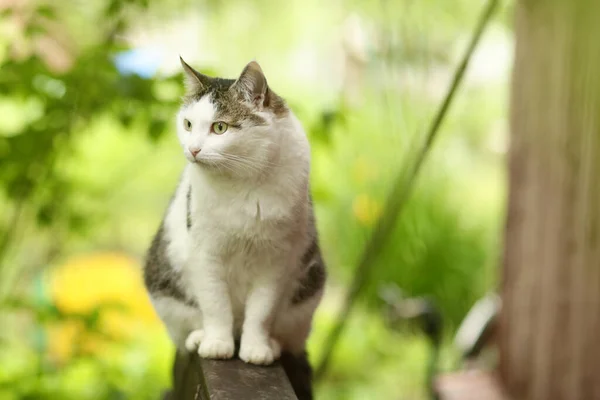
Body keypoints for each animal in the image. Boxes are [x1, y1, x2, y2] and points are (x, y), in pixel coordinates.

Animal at [143, 56, 326, 394]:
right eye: (188, 124)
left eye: (220, 127)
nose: (193, 149)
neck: (243, 182)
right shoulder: (206, 253)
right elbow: (216, 304)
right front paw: (217, 343)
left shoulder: (275, 260)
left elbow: (261, 312)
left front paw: (256, 349)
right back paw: (200, 337)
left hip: (306, 294)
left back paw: (272, 344)